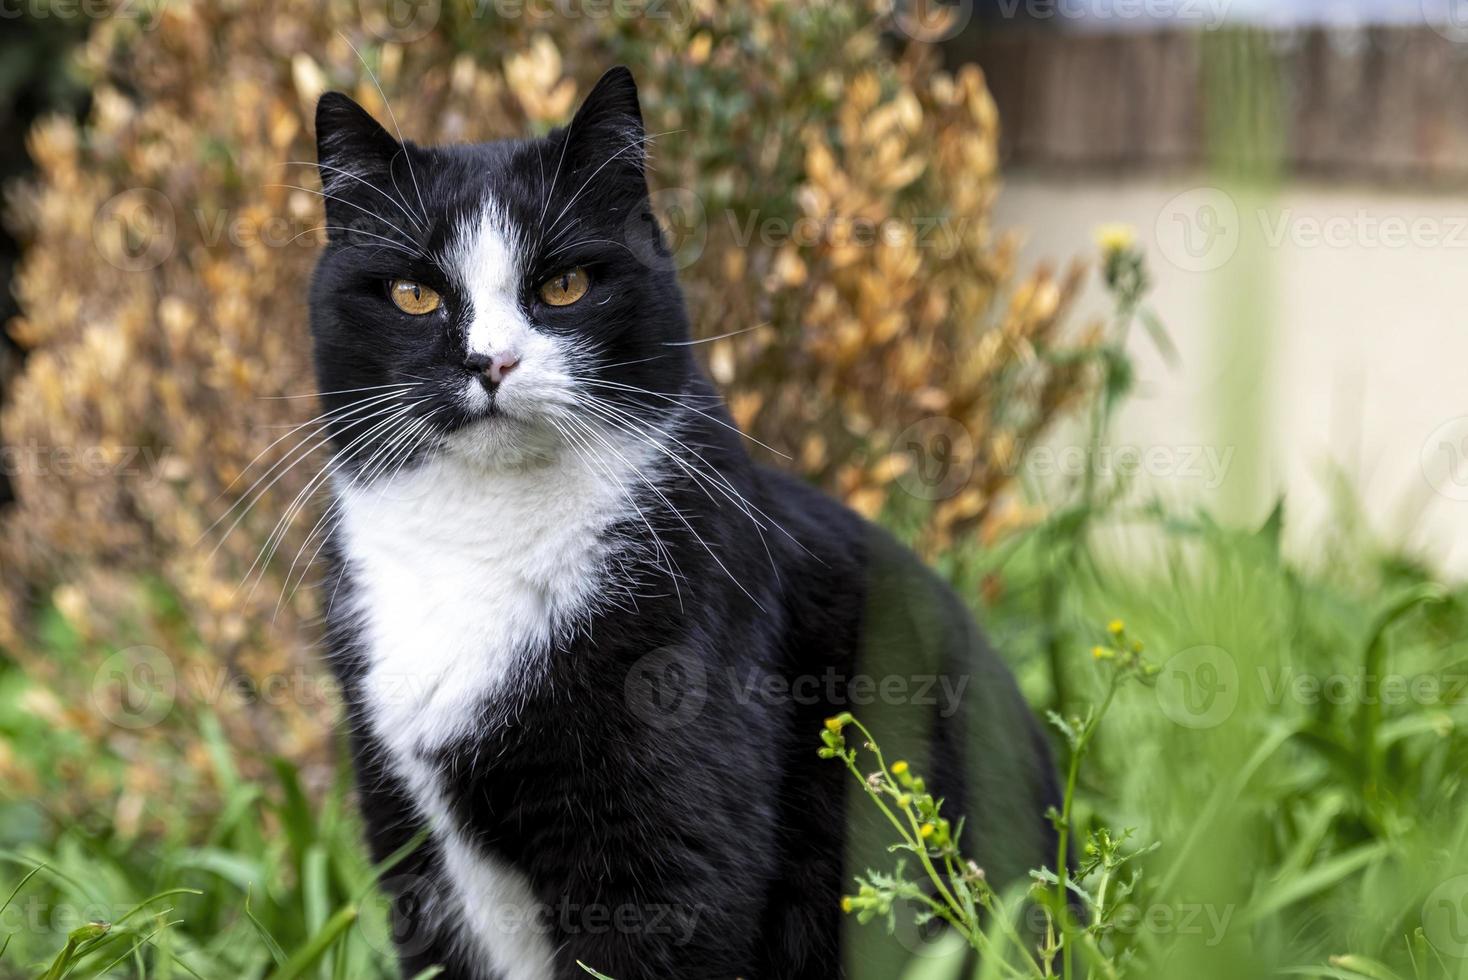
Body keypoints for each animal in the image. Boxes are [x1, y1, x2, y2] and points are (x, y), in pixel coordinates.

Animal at [312, 67, 1068, 979]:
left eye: (564, 285)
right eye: (414, 294)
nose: (491, 361)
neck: (480, 536)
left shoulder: (668, 850)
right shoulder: (409, 840)